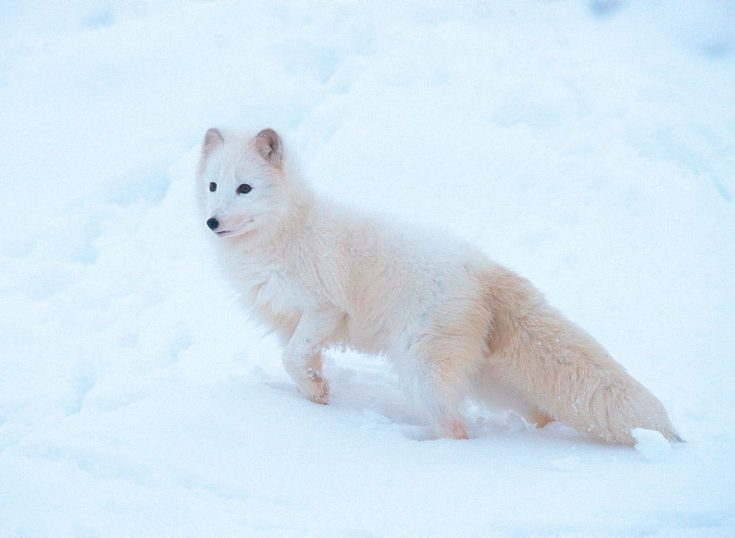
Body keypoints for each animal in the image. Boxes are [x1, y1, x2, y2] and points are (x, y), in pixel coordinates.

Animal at [197, 126, 684, 444]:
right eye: (213, 185)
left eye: (245, 188)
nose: (212, 222)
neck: (285, 231)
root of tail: (483, 268)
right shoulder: (290, 322)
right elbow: (299, 364)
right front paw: (316, 399)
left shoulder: (324, 309)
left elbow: (292, 357)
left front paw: (315, 396)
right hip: (490, 381)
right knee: (541, 412)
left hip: (423, 371)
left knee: (458, 430)